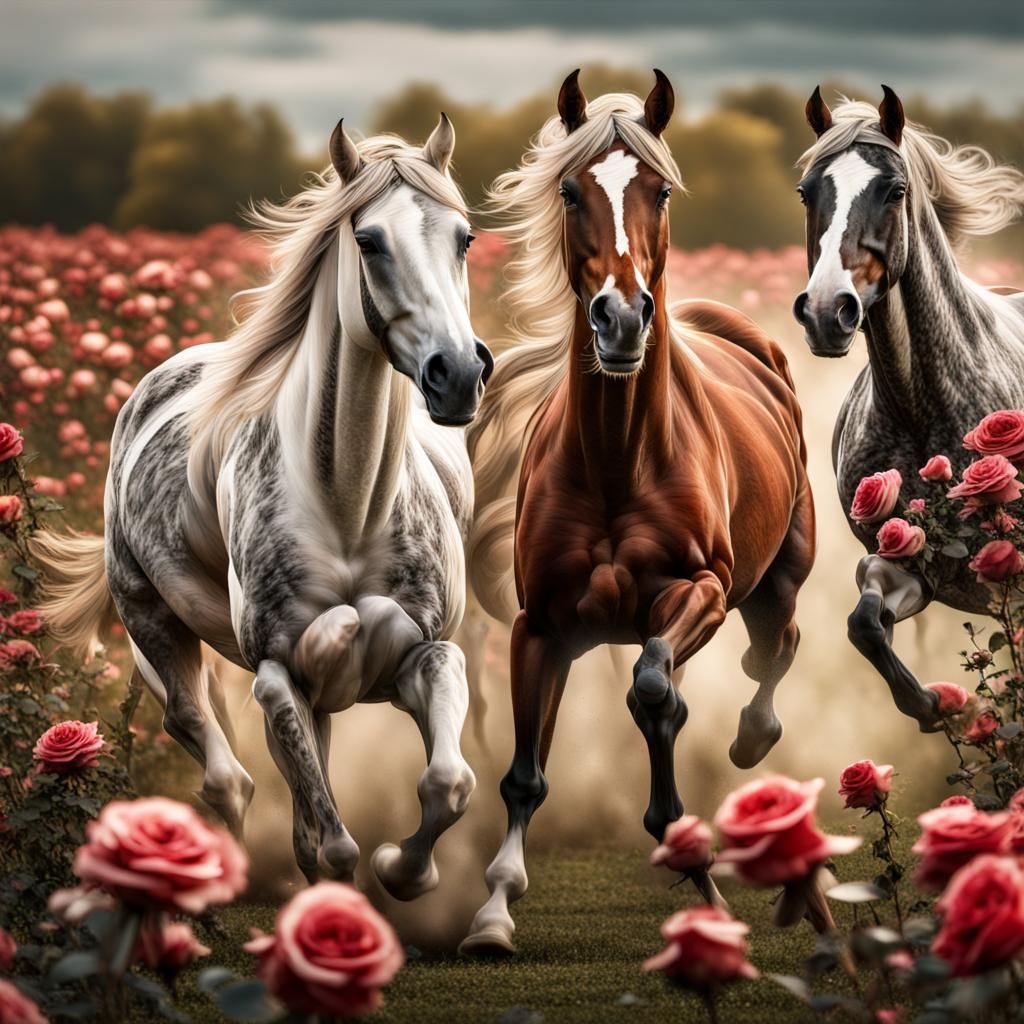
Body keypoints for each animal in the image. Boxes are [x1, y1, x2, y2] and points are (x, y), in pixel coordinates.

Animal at [32, 116, 494, 897]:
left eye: (463, 237)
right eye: (370, 240)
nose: (457, 374)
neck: (348, 509)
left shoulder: (424, 654)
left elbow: (448, 782)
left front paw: (405, 870)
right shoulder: (279, 674)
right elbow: (331, 842)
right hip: (154, 629)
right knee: (224, 774)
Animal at [460, 70, 815, 954]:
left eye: (660, 188)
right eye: (568, 190)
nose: (621, 319)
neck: (621, 460)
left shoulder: (701, 590)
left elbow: (653, 689)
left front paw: (695, 864)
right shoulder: (540, 627)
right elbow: (525, 775)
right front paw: (493, 912)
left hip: (777, 579)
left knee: (772, 649)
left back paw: (750, 742)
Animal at [793, 86, 1024, 730]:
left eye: (894, 190)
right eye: (807, 191)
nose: (826, 312)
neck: (922, 408)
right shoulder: (908, 562)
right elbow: (865, 625)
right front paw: (934, 708)